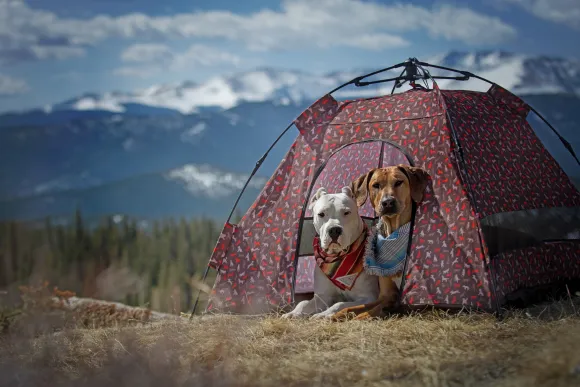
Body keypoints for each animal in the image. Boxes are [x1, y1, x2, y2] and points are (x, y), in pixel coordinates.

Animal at [282, 186, 380, 320]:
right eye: (321, 214)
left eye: (346, 212)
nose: (334, 230)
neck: (337, 258)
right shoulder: (322, 297)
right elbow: (303, 303)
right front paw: (293, 313)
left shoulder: (369, 297)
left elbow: (339, 304)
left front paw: (323, 314)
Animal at [328, 164, 428, 322]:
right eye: (376, 185)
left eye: (398, 182)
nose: (387, 202)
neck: (392, 231)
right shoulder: (385, 296)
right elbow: (354, 308)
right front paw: (337, 315)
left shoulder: (407, 302)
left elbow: (368, 313)